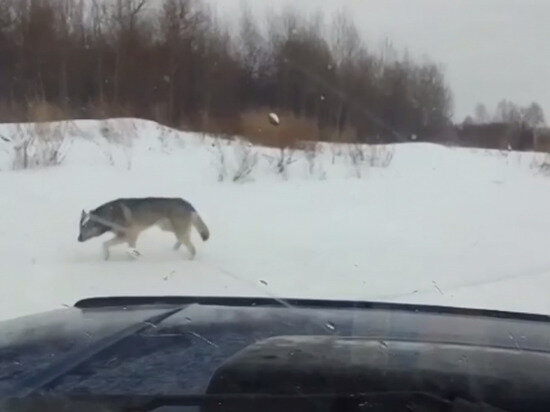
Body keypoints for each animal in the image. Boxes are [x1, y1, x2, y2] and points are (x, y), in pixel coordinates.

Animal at [80, 197, 211, 260]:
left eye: (85, 227)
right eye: (79, 228)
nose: (78, 239)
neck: (108, 215)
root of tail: (188, 204)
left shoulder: (128, 236)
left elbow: (105, 244)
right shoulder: (130, 237)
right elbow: (127, 249)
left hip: (176, 230)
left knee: (192, 248)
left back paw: (188, 260)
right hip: (168, 227)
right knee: (185, 237)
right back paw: (174, 250)